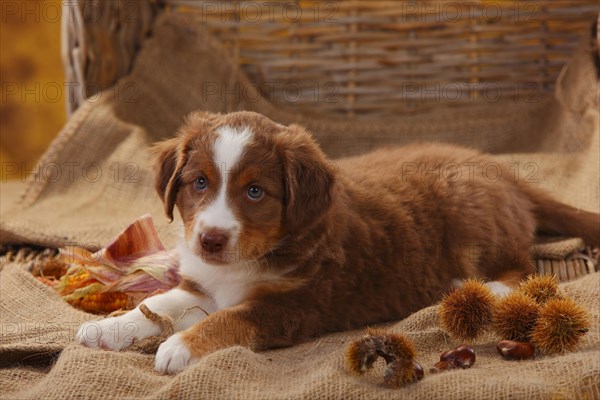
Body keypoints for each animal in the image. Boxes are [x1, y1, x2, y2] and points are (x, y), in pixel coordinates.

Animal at [76, 111, 600, 374]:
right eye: (199, 182)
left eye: (254, 191)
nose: (210, 240)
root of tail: (501, 171)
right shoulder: (202, 284)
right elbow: (160, 302)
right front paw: (110, 329)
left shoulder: (295, 304)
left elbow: (230, 319)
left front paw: (181, 347)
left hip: (472, 220)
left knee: (523, 267)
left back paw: (474, 290)